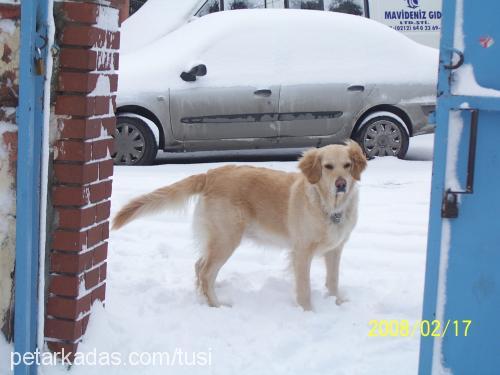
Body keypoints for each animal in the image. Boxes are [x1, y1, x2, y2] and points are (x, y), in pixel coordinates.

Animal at [113, 141, 368, 312]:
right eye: (327, 166)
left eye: (347, 165)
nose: (341, 184)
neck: (329, 206)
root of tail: (210, 173)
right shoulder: (302, 252)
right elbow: (304, 287)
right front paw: (309, 312)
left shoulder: (335, 249)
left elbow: (333, 280)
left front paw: (337, 303)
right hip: (227, 238)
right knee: (205, 271)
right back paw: (216, 305)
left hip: (218, 239)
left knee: (199, 266)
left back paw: (205, 296)